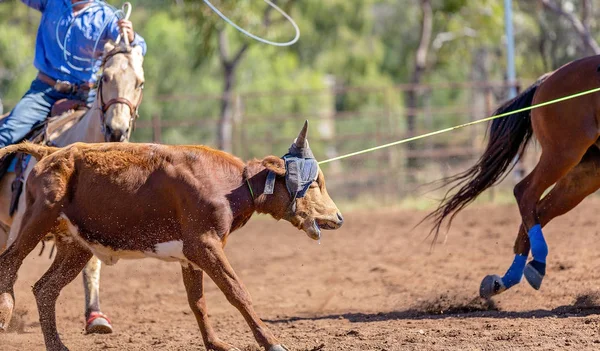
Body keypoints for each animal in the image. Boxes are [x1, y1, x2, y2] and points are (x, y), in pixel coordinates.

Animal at [0, 40, 144, 332]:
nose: (116, 130)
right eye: (105, 77)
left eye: (139, 83)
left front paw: (95, 316)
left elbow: (92, 267)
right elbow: (13, 264)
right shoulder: (21, 220)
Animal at [0, 121, 342, 351]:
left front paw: (216, 343)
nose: (338, 217)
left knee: (45, 289)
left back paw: (57, 344)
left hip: (76, 244)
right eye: (314, 183)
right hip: (37, 219)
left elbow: (198, 302)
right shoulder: (204, 244)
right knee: (9, 264)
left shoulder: (191, 255)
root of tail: (50, 151)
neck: (232, 185)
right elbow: (236, 291)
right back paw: (5, 315)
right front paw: (271, 342)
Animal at [426, 55, 600, 300]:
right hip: (564, 152)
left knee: (540, 208)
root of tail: (548, 78)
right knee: (525, 192)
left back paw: (506, 279)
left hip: (586, 173)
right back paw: (535, 265)